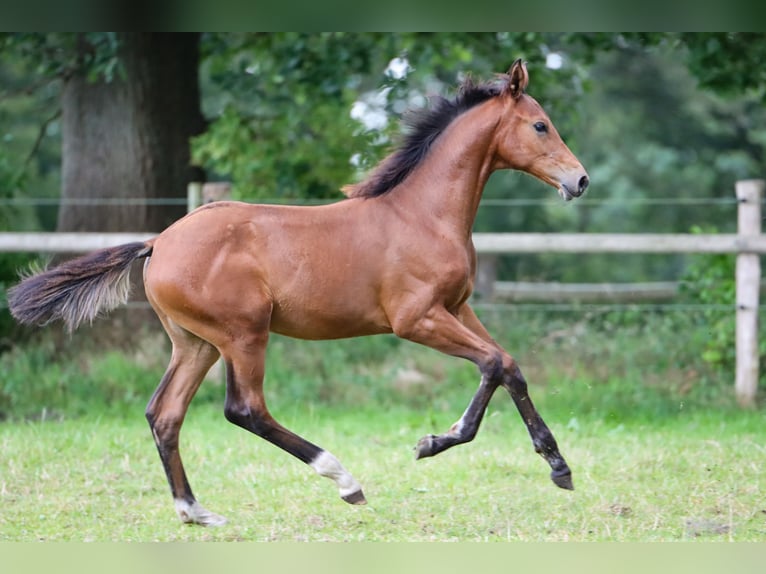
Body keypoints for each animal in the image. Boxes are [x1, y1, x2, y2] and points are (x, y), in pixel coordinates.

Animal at [7, 62, 588, 528]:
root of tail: (157, 243)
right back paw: (344, 479)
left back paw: (195, 511)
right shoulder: (416, 318)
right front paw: (435, 442)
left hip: (196, 343)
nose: (579, 181)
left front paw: (557, 466)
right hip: (243, 334)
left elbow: (509, 365)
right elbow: (493, 363)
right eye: (540, 124)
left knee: (164, 414)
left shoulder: (458, 308)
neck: (423, 214)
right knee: (245, 409)